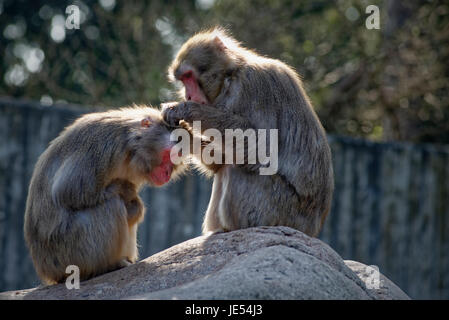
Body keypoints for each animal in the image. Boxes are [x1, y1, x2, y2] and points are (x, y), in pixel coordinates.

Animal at [23, 106, 185, 284]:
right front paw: (125, 188)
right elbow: (68, 192)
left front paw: (135, 205)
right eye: (171, 154)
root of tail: (47, 271)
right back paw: (108, 265)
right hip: (70, 251)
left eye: (175, 161)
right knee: (112, 205)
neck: (130, 146)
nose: (167, 173)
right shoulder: (102, 149)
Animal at [161, 28, 332, 238]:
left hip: (281, 211)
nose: (188, 95)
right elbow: (219, 160)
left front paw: (183, 109)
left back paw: (235, 228)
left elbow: (260, 146)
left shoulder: (256, 86)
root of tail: (312, 229)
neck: (231, 76)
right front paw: (181, 133)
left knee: (236, 169)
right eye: (183, 80)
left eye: (188, 76)